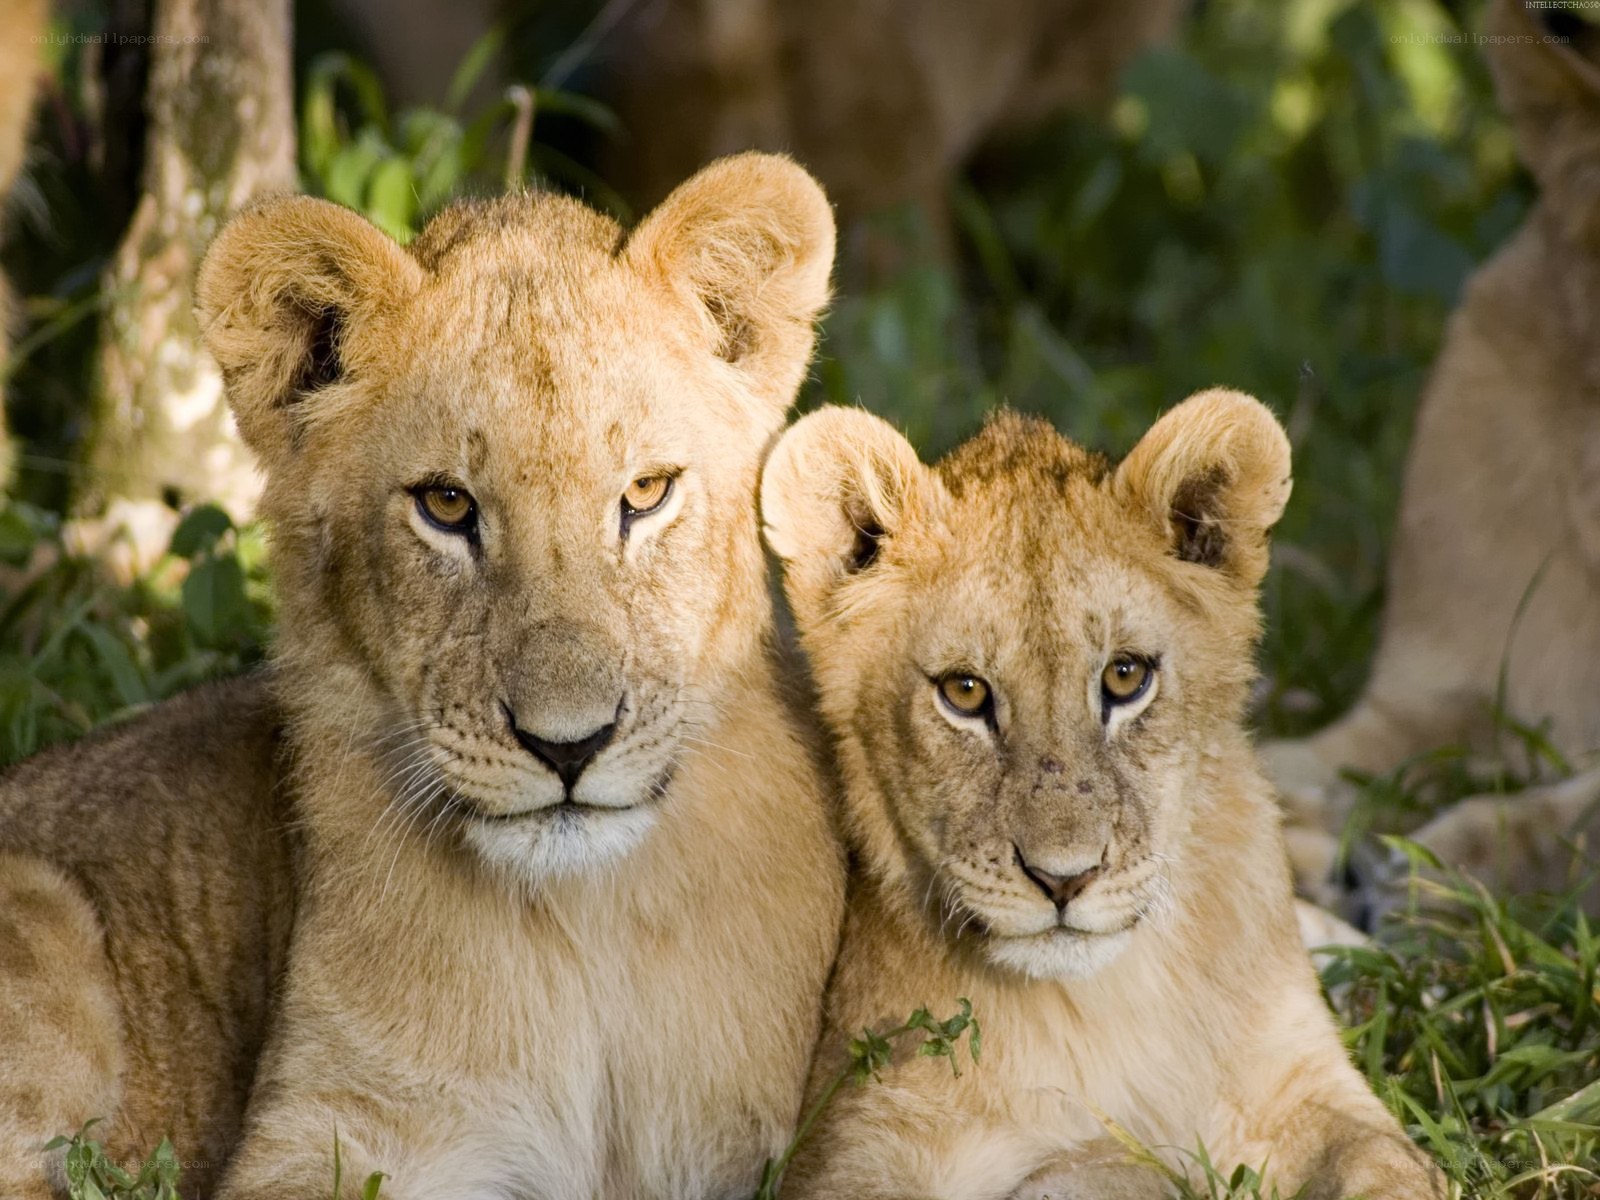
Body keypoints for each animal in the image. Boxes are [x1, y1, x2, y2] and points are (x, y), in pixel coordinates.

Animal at [760, 393, 1444, 1199]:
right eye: (965, 692)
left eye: (1125, 676)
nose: (1064, 880)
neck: (1097, 1004)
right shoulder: (856, 1138)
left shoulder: (1301, 1082)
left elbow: (1389, 1167)